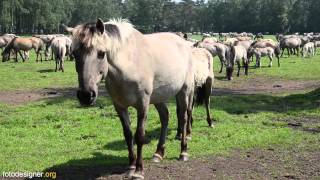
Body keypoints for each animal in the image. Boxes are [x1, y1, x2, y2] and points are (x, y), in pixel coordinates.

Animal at [65, 19, 195, 179]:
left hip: (184, 91)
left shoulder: (142, 105)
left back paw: (183, 152)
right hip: (158, 98)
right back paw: (158, 153)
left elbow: (139, 136)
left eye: (101, 53)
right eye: (74, 53)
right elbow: (128, 135)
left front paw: (138, 170)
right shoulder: (120, 106)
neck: (129, 62)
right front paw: (131, 166)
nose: (86, 95)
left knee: (183, 118)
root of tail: (184, 43)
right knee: (165, 117)